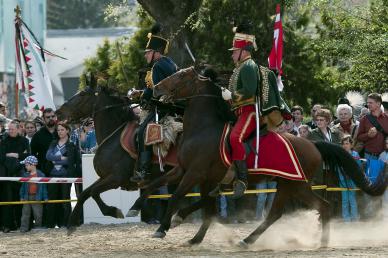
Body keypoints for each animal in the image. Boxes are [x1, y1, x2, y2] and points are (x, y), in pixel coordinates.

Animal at [152, 67, 388, 248]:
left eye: (181, 75)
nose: (155, 88)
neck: (203, 129)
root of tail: (313, 145)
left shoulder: (196, 173)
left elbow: (177, 197)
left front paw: (163, 227)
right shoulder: (188, 172)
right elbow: (160, 186)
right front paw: (189, 232)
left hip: (295, 185)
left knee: (315, 207)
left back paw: (318, 241)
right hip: (288, 185)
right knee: (280, 213)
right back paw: (251, 240)